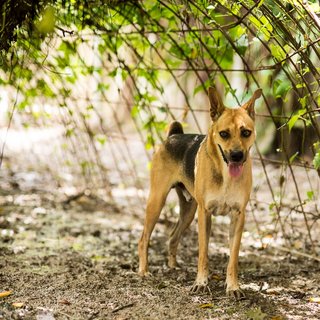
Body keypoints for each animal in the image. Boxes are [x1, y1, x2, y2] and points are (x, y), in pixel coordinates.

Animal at [138, 86, 262, 298]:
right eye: (224, 134)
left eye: (246, 132)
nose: (237, 156)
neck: (225, 174)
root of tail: (174, 136)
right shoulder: (204, 213)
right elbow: (203, 253)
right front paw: (201, 283)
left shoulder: (238, 216)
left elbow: (233, 258)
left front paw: (233, 287)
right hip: (157, 201)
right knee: (144, 238)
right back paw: (143, 271)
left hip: (188, 210)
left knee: (173, 237)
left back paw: (173, 266)